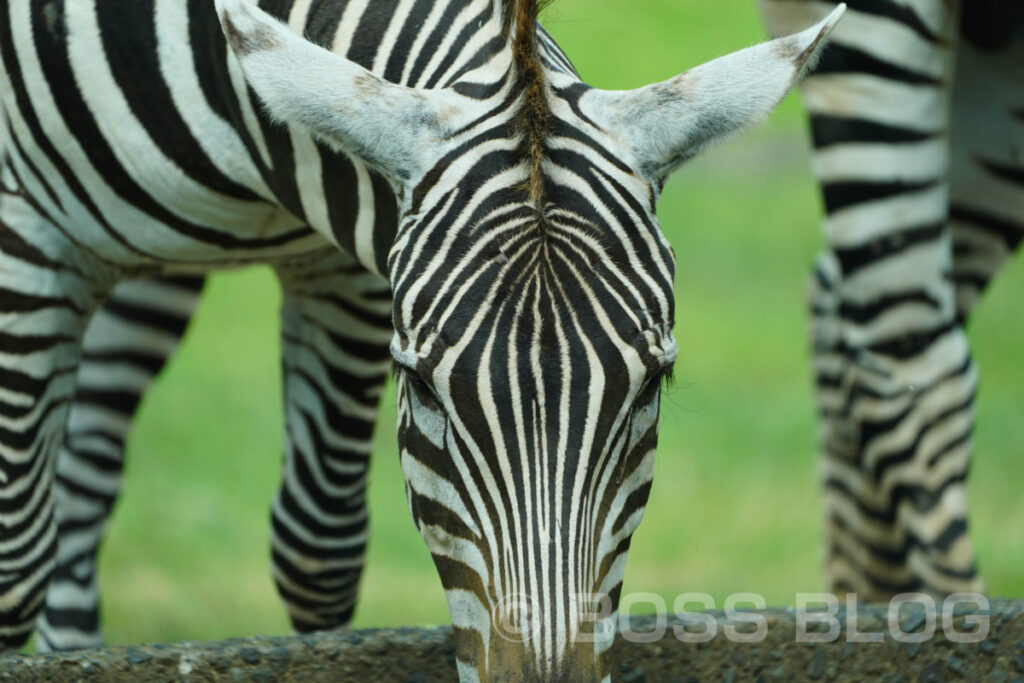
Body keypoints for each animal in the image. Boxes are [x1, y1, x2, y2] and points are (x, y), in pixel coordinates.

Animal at [0, 0, 843, 679]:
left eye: (652, 383)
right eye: (422, 384)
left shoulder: (345, 264)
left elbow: (318, 543)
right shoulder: (27, 238)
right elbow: (15, 559)